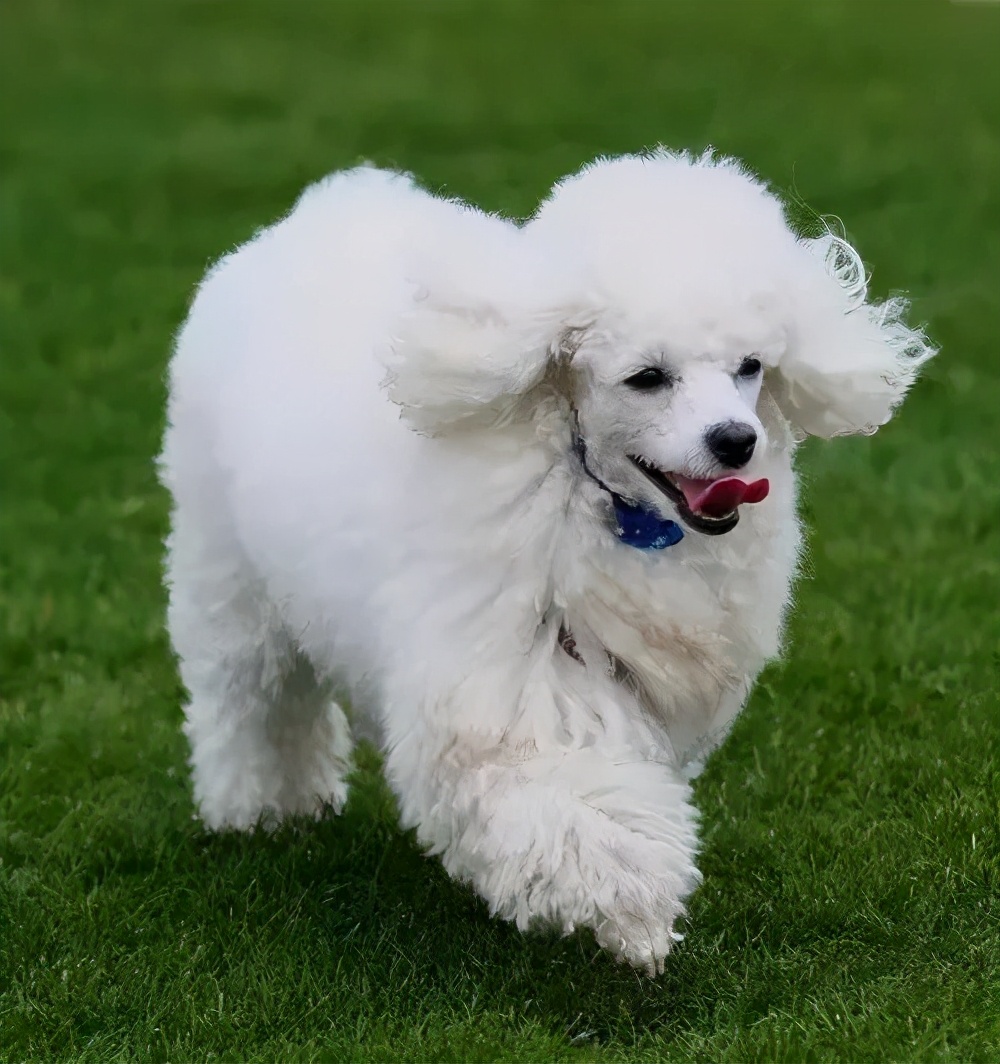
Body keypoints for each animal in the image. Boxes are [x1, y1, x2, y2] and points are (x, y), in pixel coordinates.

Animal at [160, 150, 931, 974]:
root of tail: (321, 209)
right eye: (647, 377)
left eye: (750, 366)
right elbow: (556, 788)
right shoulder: (499, 671)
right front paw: (635, 907)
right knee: (250, 699)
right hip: (226, 571)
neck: (600, 495)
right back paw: (260, 811)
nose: (735, 442)